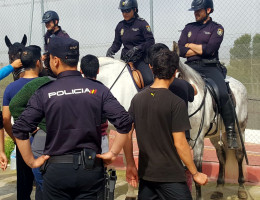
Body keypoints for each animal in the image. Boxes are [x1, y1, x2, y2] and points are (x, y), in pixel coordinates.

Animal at [97, 56, 248, 200]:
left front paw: (131, 193)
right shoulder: (107, 129)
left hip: (240, 129)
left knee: (239, 155)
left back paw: (241, 189)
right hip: (215, 135)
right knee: (221, 156)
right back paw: (219, 189)